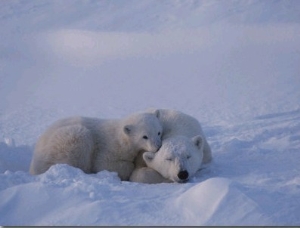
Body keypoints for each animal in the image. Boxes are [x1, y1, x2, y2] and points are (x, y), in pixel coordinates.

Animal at [29, 111, 163, 181]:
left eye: (158, 132)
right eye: (144, 136)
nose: (157, 147)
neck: (122, 139)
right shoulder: (109, 147)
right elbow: (103, 164)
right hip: (64, 141)